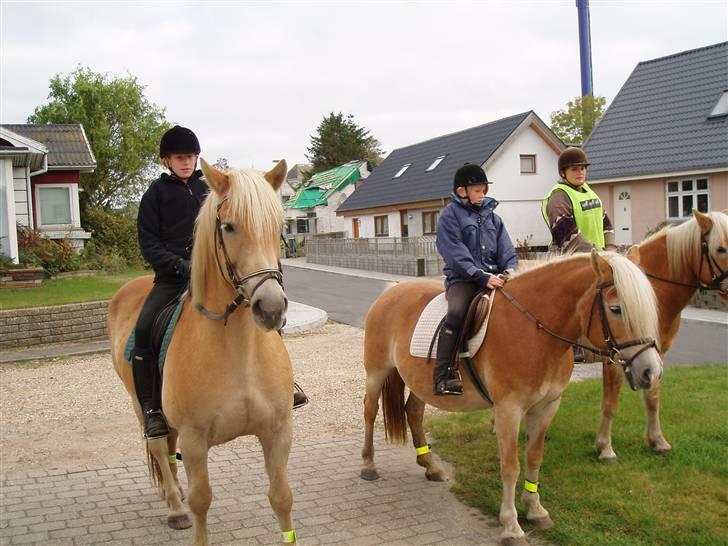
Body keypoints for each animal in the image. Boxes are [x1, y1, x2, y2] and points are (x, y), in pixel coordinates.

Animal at [109, 158, 298, 544]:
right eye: (228, 227)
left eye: (278, 227)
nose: (270, 308)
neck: (239, 353)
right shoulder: (196, 440)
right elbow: (201, 501)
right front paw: (187, 509)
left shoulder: (277, 430)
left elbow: (281, 497)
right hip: (141, 406)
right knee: (158, 447)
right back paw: (174, 506)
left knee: (167, 450)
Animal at [362, 250, 664, 540]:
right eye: (616, 309)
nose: (651, 371)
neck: (534, 331)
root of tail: (390, 291)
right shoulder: (508, 409)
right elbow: (510, 465)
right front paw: (511, 525)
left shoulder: (547, 406)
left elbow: (534, 457)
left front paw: (536, 509)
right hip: (377, 372)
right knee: (370, 411)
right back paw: (369, 466)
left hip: (420, 383)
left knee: (413, 411)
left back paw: (431, 466)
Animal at [596, 208, 728, 460]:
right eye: (721, 249)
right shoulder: (615, 357)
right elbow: (610, 402)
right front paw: (605, 447)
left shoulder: (654, 355)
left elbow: (653, 398)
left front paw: (657, 441)